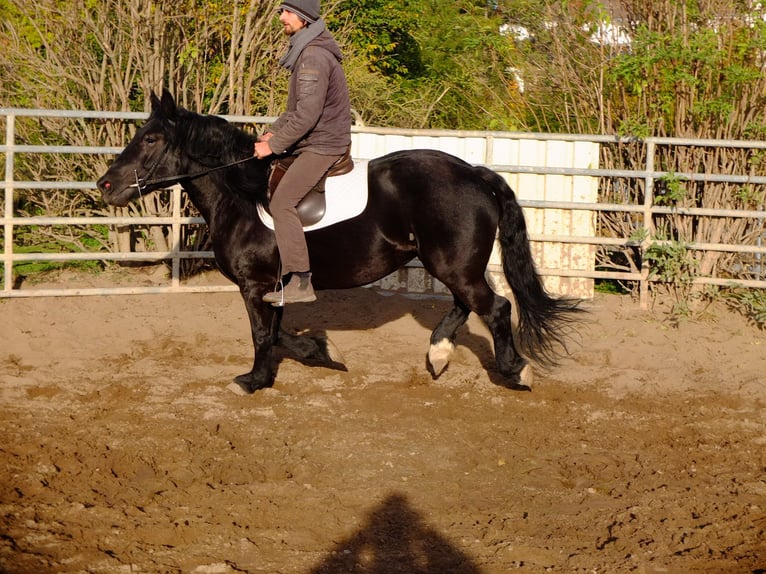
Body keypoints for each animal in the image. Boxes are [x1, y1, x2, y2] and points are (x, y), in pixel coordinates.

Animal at [99, 91, 584, 396]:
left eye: (151, 138)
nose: (105, 185)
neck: (242, 194)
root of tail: (474, 172)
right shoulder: (275, 287)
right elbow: (280, 333)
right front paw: (323, 351)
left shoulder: (254, 286)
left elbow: (263, 335)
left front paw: (253, 381)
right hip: (452, 265)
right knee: (467, 305)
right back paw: (439, 355)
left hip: (453, 265)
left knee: (495, 307)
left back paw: (515, 372)